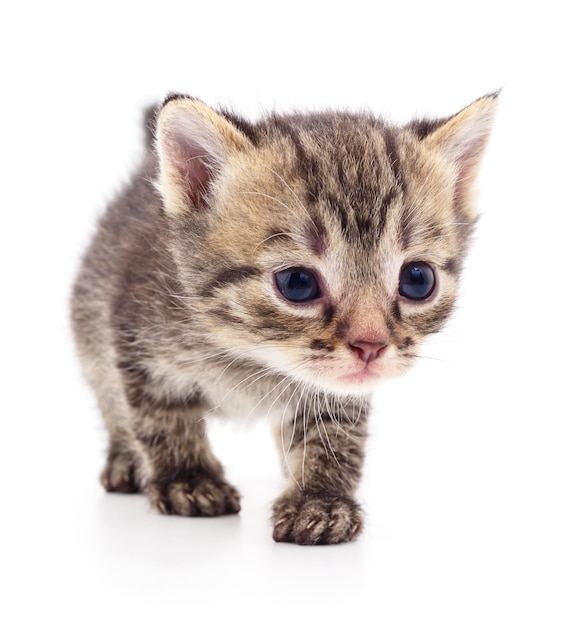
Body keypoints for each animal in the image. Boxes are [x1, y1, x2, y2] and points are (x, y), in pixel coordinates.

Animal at [69, 91, 498, 540]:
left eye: (418, 279)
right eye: (297, 283)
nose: (371, 346)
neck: (250, 356)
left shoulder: (335, 390)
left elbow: (333, 432)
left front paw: (320, 499)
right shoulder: (139, 342)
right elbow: (161, 417)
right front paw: (189, 478)